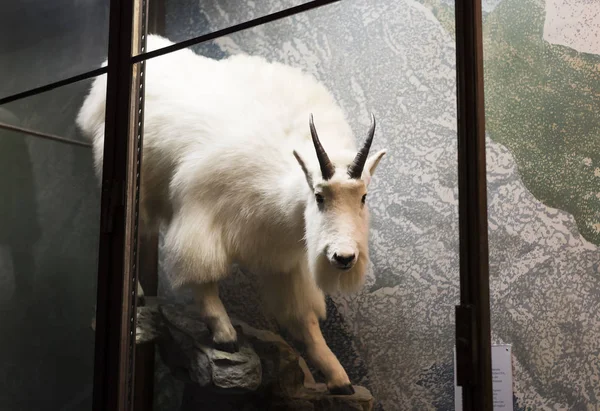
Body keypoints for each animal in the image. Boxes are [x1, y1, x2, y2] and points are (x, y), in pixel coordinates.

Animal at [77, 35, 386, 396]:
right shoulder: (202, 212)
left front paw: (337, 376)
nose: (344, 257)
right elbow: (202, 274)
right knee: (133, 233)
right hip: (135, 190)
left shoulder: (287, 262)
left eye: (363, 196)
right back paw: (138, 294)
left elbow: (303, 316)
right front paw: (225, 334)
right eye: (319, 196)